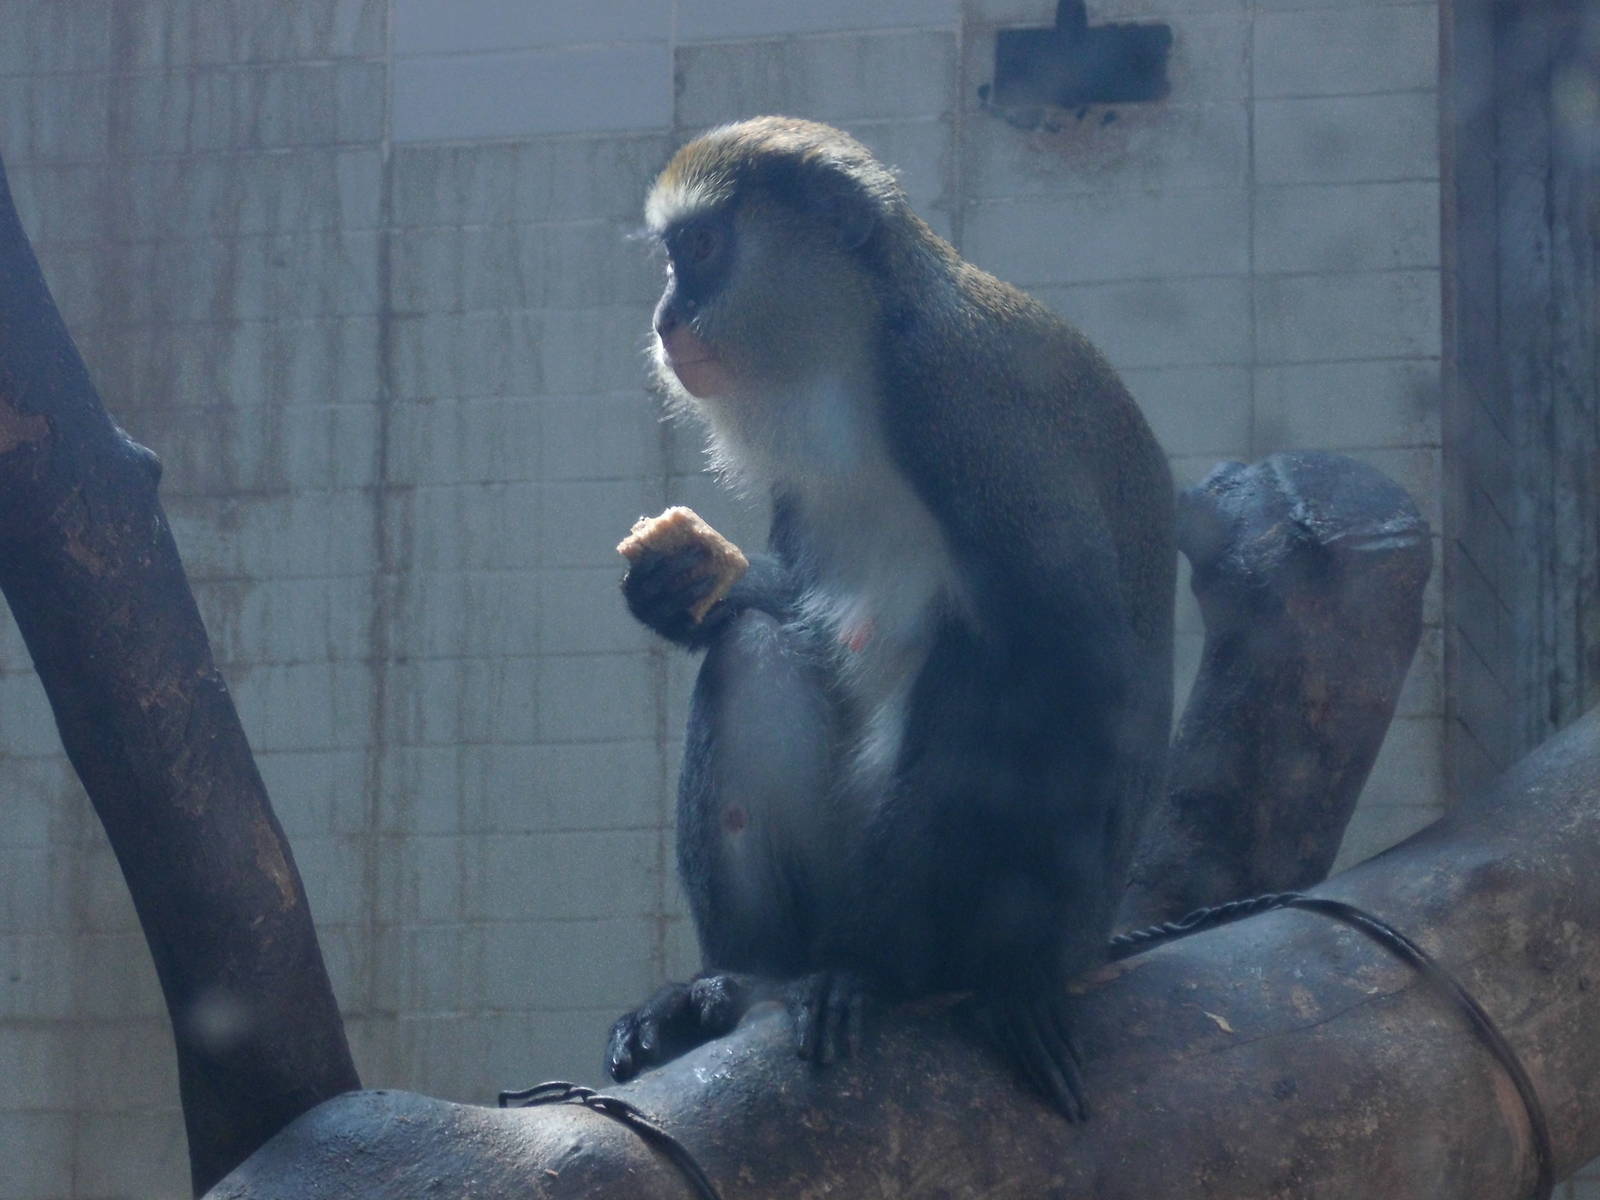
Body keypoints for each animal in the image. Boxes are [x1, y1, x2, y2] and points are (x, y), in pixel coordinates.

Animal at [604, 117, 1174, 1119]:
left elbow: (1079, 664)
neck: (857, 355)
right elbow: (789, 602)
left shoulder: (962, 403)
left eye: (700, 249)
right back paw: (738, 982)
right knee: (754, 651)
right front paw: (674, 587)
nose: (667, 318)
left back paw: (889, 970)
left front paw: (986, 981)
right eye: (674, 257)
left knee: (986, 666)